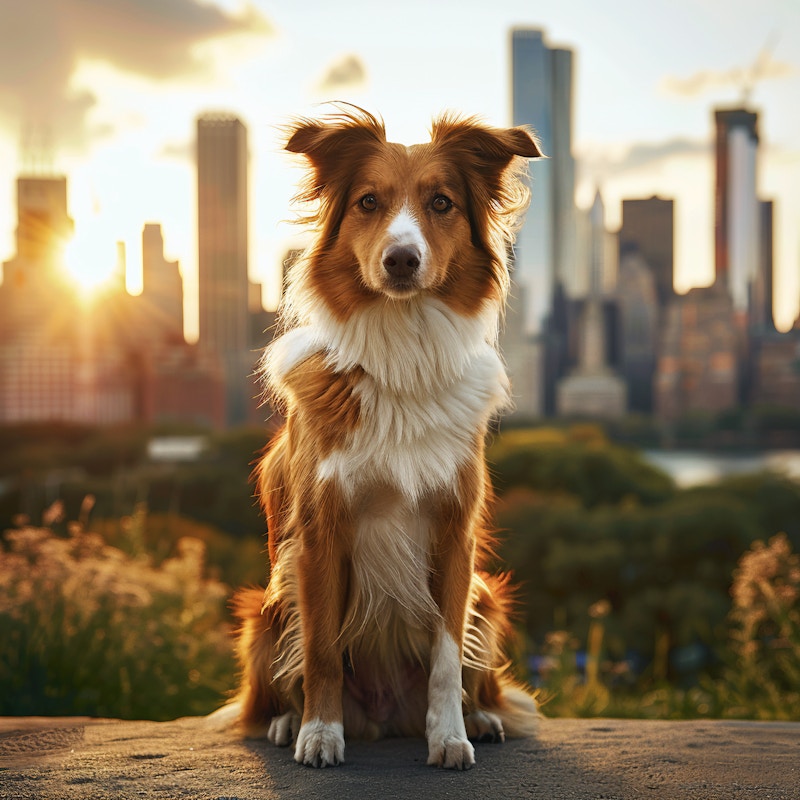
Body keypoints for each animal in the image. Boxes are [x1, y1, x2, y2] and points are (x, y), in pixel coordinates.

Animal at [234, 106, 540, 768]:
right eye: (368, 202)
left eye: (442, 203)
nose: (402, 259)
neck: (404, 355)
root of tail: (382, 716)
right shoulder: (319, 535)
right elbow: (321, 651)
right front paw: (320, 733)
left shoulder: (455, 537)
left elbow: (448, 658)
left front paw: (449, 736)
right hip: (265, 608)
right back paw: (287, 721)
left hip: (487, 597)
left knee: (478, 674)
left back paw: (481, 717)